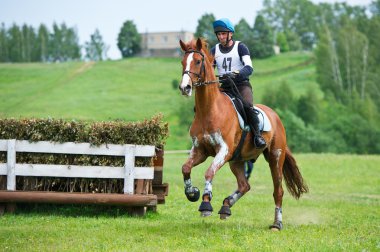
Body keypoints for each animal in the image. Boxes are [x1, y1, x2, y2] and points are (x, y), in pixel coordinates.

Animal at [179, 38, 308, 230]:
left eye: (198, 61)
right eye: (182, 62)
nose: (184, 87)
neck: (209, 110)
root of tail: (275, 115)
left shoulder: (224, 150)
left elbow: (209, 172)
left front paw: (206, 203)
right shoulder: (200, 150)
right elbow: (186, 168)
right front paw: (192, 192)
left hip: (275, 157)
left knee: (278, 190)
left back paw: (277, 224)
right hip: (237, 160)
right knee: (244, 185)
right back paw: (226, 206)